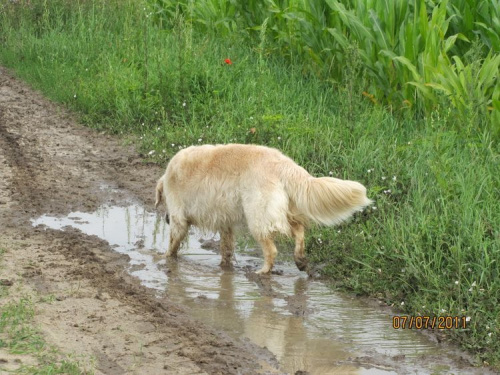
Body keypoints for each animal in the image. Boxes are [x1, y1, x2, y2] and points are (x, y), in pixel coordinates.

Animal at [155, 145, 372, 274]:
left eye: (164, 203)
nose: (165, 218)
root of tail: (284, 164)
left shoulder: (178, 217)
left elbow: (173, 241)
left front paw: (164, 258)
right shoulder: (226, 223)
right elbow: (226, 248)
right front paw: (225, 267)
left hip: (258, 216)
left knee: (272, 249)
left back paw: (263, 271)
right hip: (283, 209)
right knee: (299, 230)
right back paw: (300, 259)